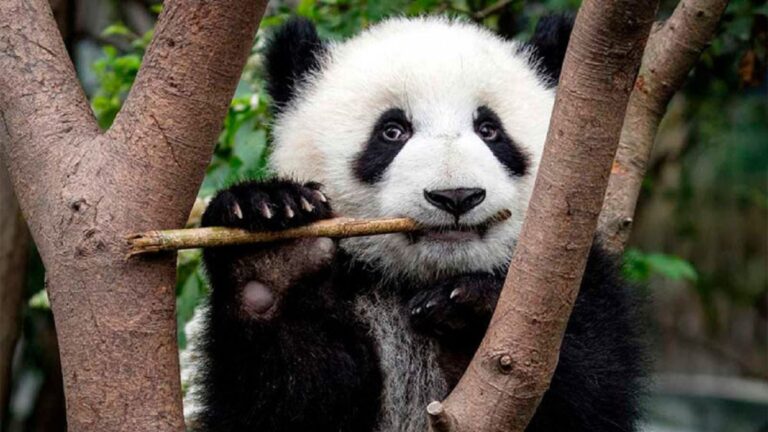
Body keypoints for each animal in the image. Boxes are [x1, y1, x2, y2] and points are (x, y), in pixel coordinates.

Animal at [187, 15, 646, 432]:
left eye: (490, 129)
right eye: (392, 131)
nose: (456, 196)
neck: (417, 279)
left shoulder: (579, 279)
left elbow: (591, 389)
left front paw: (468, 302)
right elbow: (286, 401)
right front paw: (273, 249)